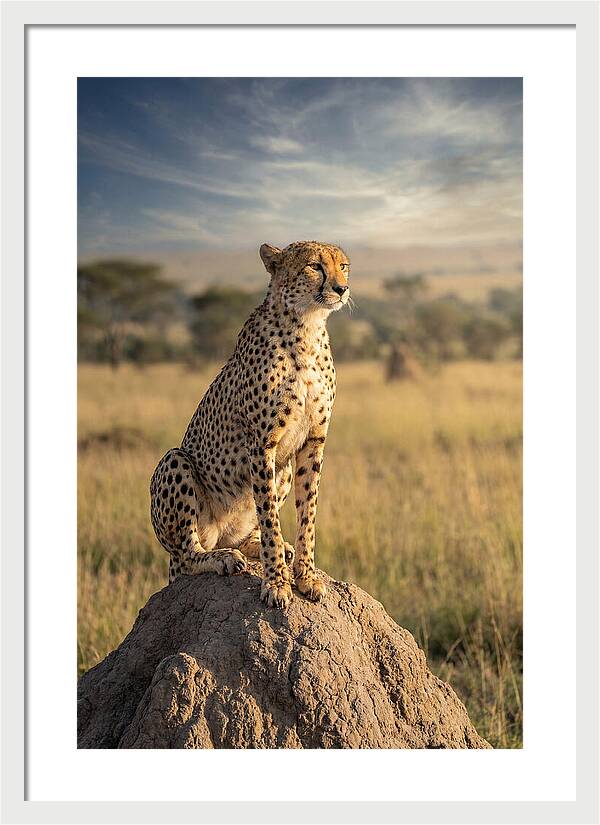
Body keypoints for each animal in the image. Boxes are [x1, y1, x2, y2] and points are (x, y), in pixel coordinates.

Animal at [150, 240, 350, 608]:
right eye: (315, 266)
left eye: (343, 266)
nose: (341, 289)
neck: (307, 326)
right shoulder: (261, 444)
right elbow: (270, 515)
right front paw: (276, 583)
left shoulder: (313, 441)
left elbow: (308, 514)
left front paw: (306, 576)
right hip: (174, 463)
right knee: (187, 554)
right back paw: (222, 558)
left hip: (283, 470)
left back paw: (259, 547)